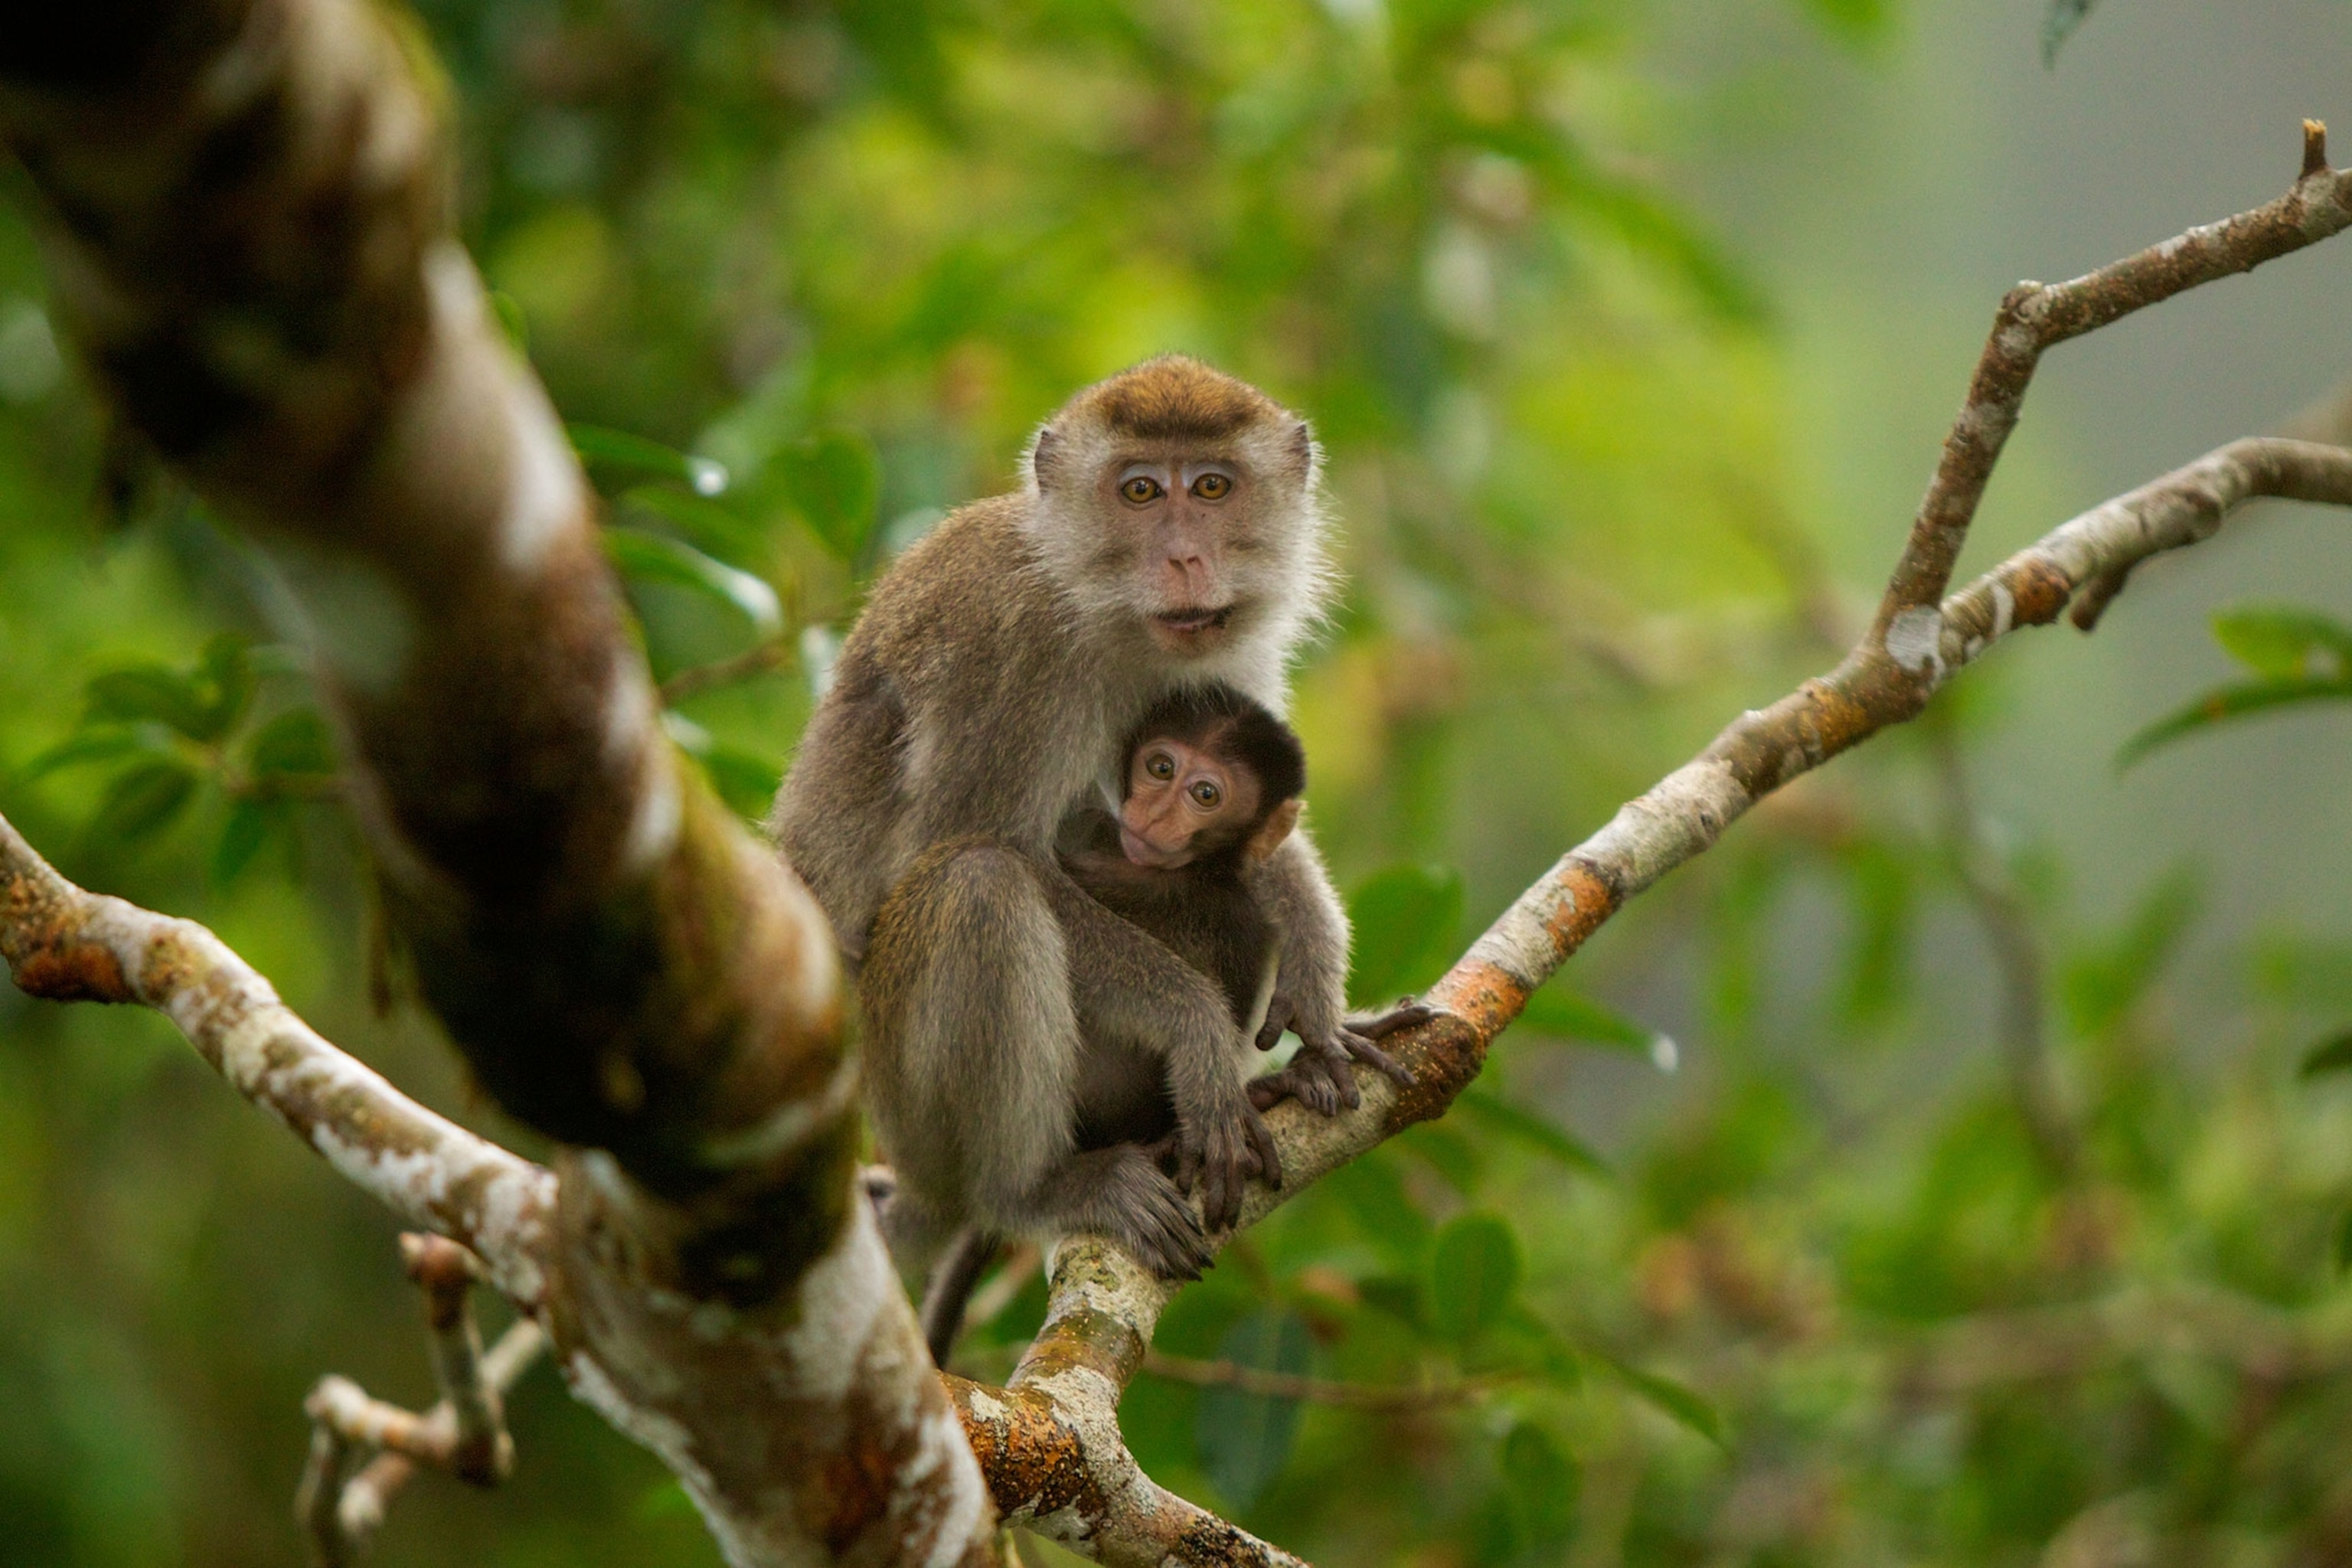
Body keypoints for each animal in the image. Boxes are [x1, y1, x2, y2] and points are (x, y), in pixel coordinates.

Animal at [771, 356, 1425, 1322]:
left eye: (1213, 487)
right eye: (1141, 490)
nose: (1185, 556)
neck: (1099, 607)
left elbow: (1263, 838)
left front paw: (1320, 988)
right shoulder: (1011, 652)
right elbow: (968, 842)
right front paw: (1197, 1030)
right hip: (905, 1097)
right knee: (979, 884)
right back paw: (1031, 1189)